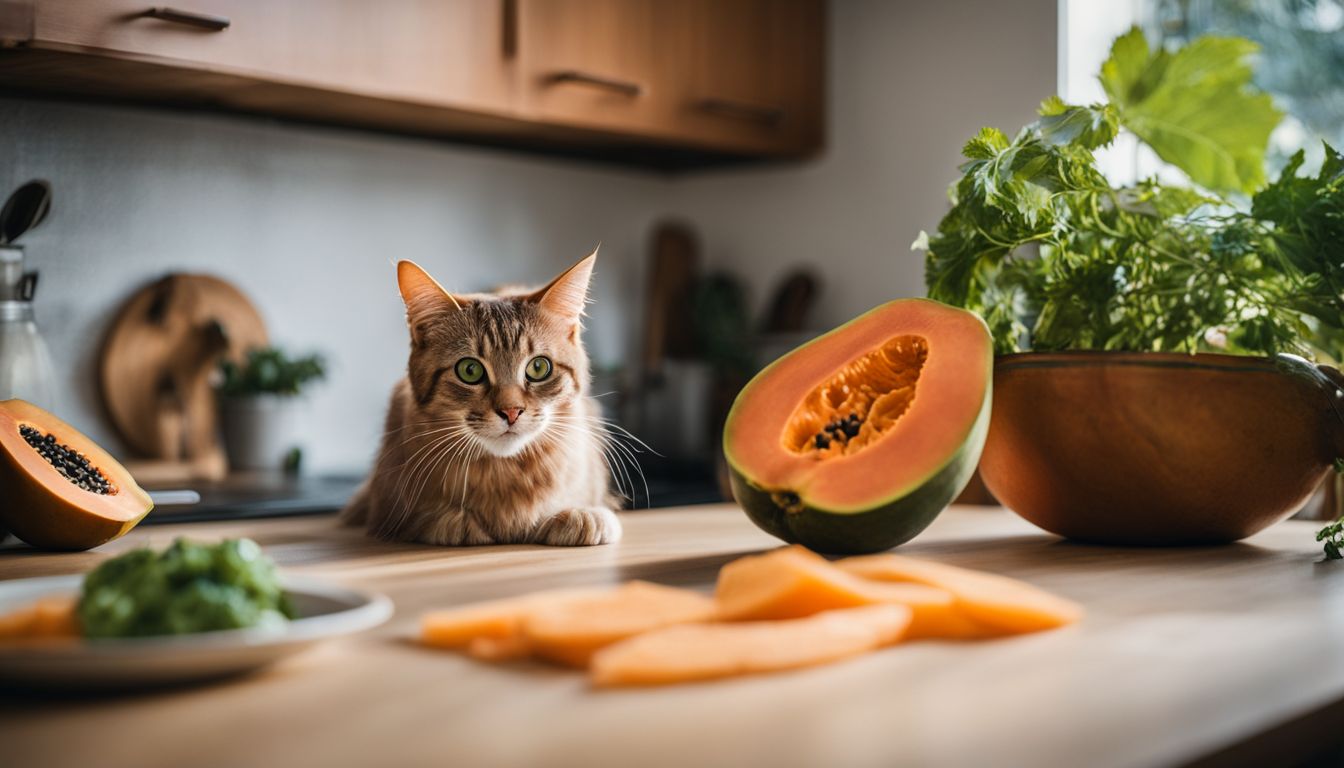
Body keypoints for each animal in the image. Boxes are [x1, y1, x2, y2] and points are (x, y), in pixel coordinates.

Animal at [341, 252, 623, 546]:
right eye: (470, 370)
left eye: (538, 367)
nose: (511, 411)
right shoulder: (387, 512)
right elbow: (431, 520)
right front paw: (462, 522)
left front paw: (580, 515)